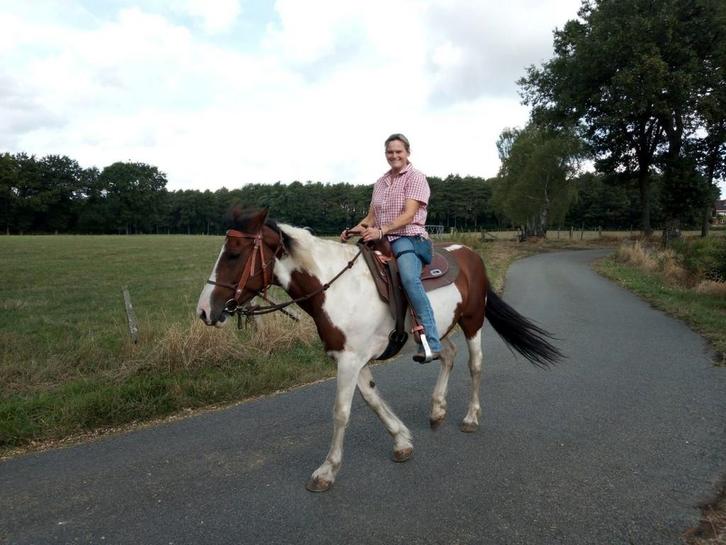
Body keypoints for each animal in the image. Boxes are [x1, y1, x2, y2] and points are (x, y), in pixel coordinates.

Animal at [196, 208, 562, 492]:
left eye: (234, 254)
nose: (204, 311)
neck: (335, 288)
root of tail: (470, 254)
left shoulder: (349, 360)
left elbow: (341, 412)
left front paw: (326, 472)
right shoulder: (350, 358)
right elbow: (372, 399)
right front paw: (401, 441)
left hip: (472, 321)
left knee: (475, 364)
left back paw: (470, 417)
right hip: (438, 329)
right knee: (448, 354)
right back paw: (437, 410)